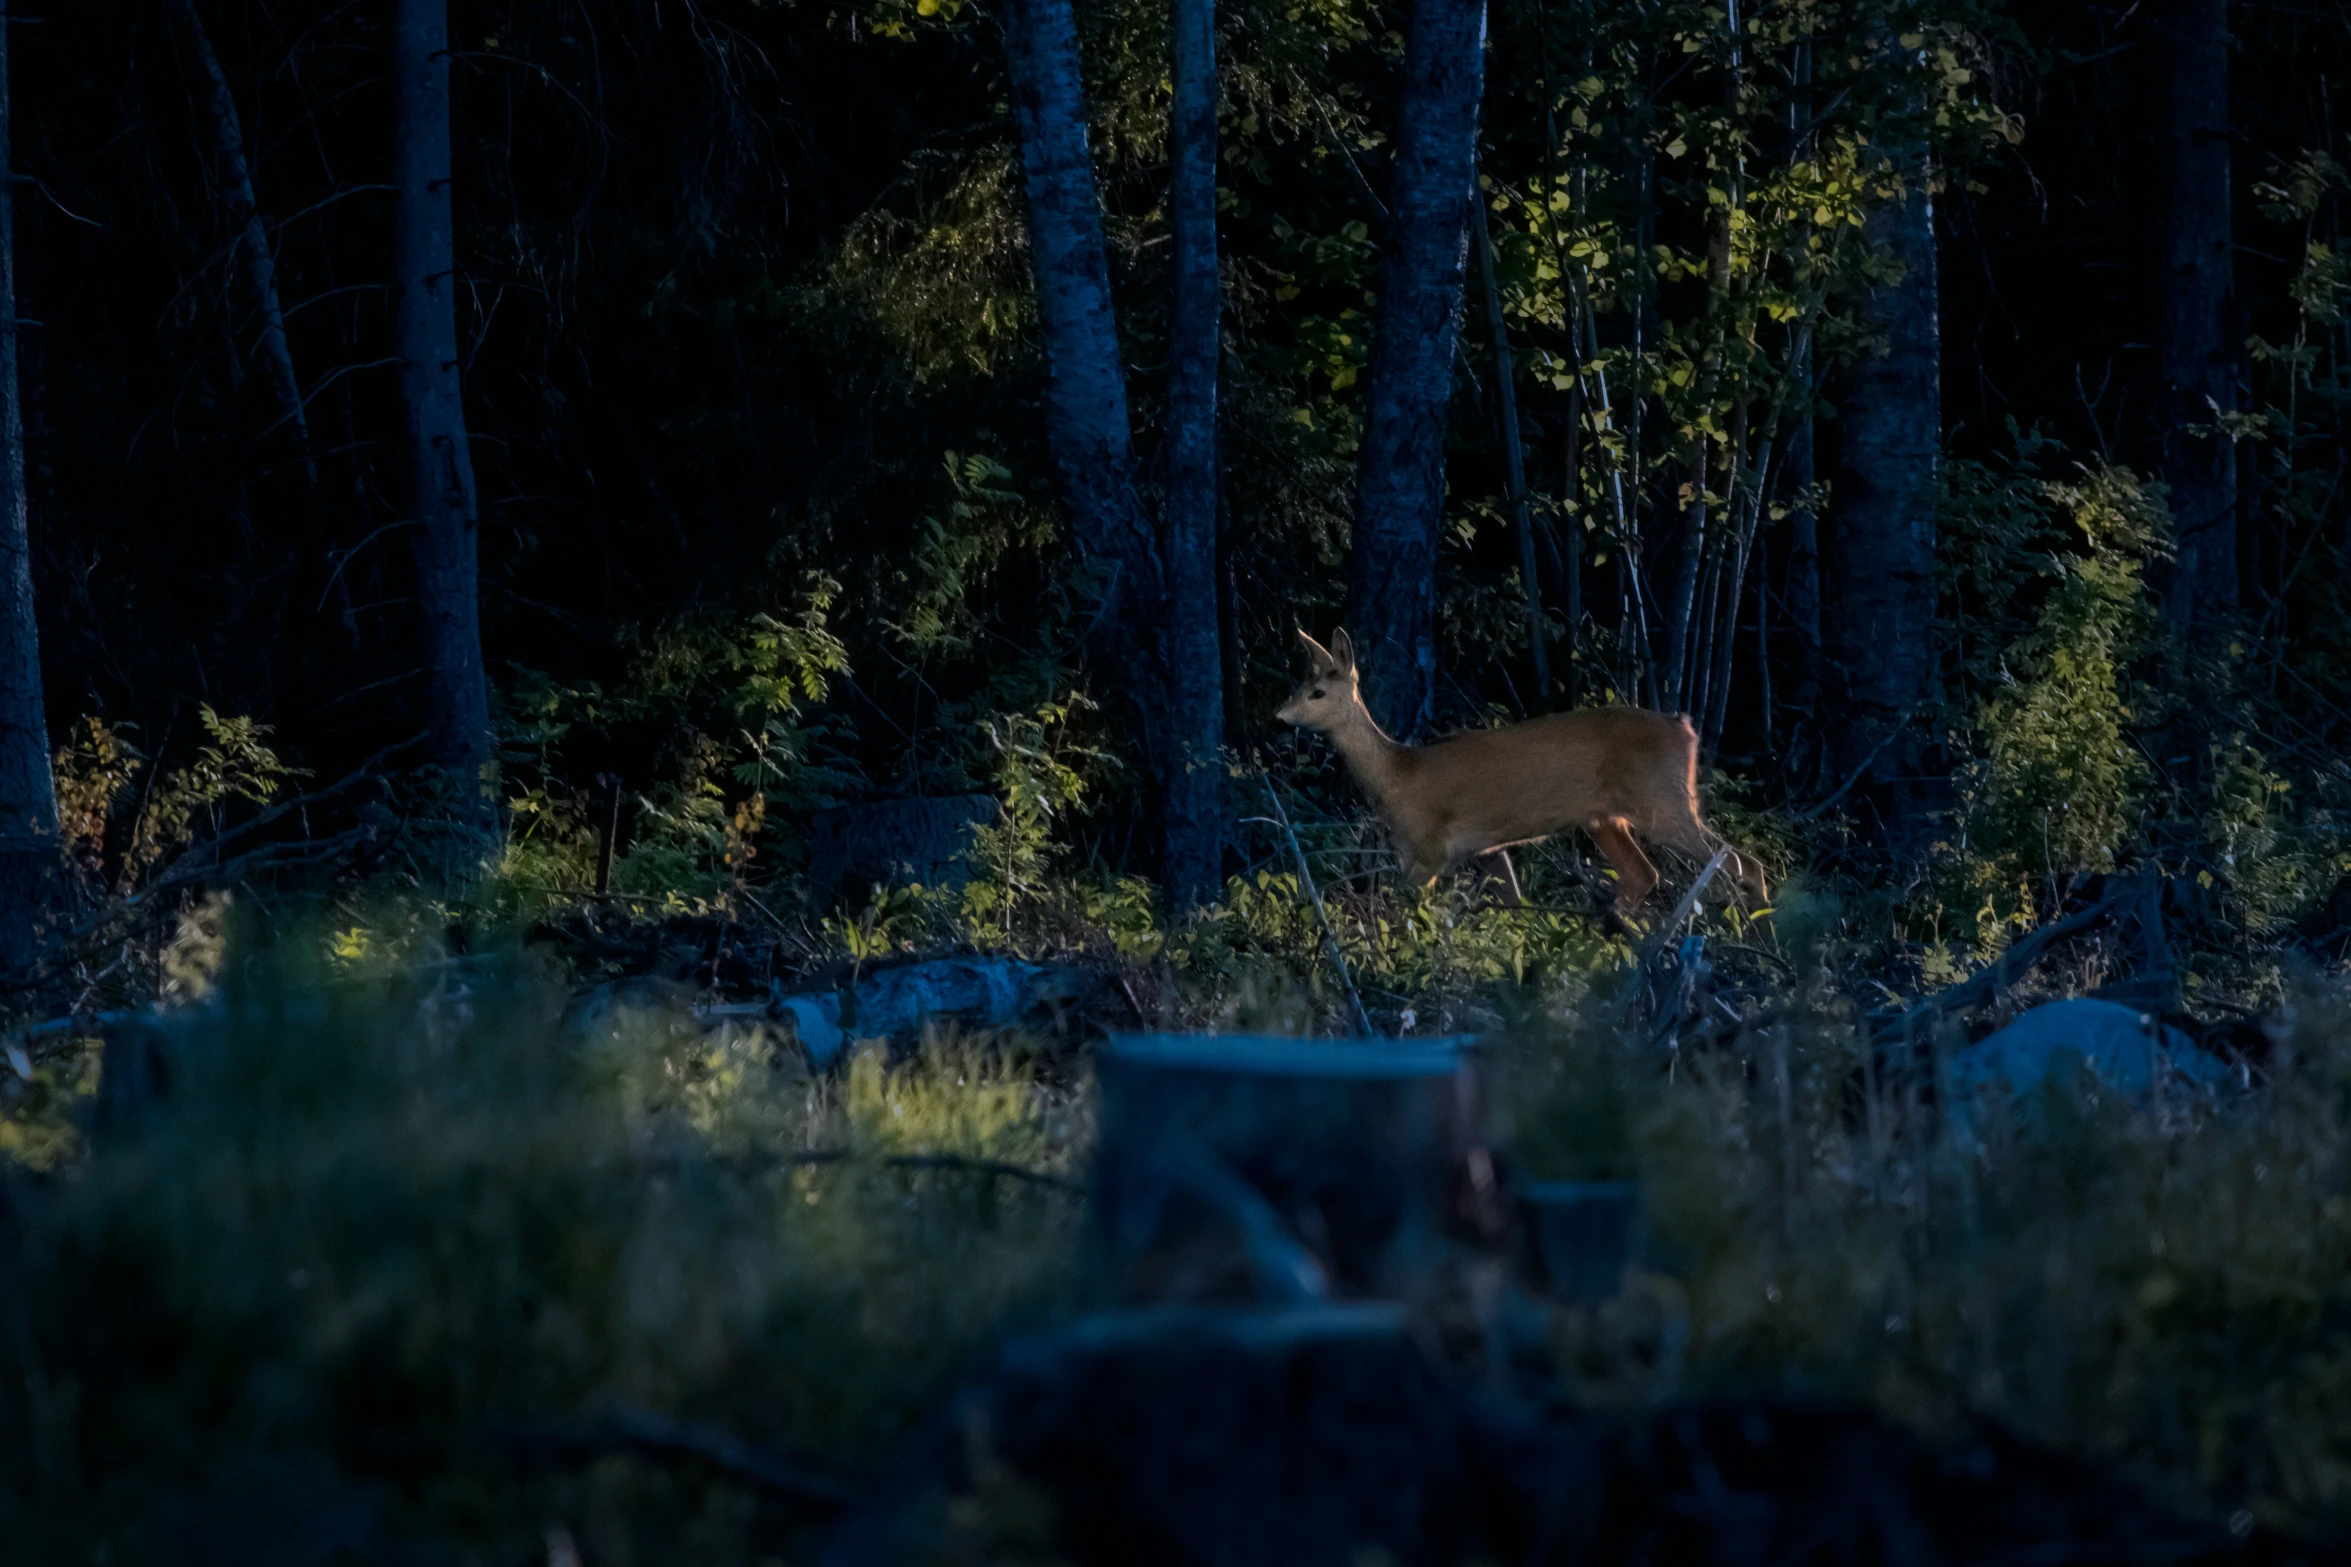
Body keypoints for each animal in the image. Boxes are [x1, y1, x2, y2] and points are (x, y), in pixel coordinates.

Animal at [1269, 629, 1767, 920]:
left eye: (1317, 692)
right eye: (1296, 684)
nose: (1278, 716)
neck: (1397, 775)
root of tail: (1686, 730)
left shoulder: (1427, 850)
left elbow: (1406, 913)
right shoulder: (1486, 848)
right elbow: (1512, 904)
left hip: (1663, 800)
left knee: (1740, 862)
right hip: (1604, 818)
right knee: (1645, 874)